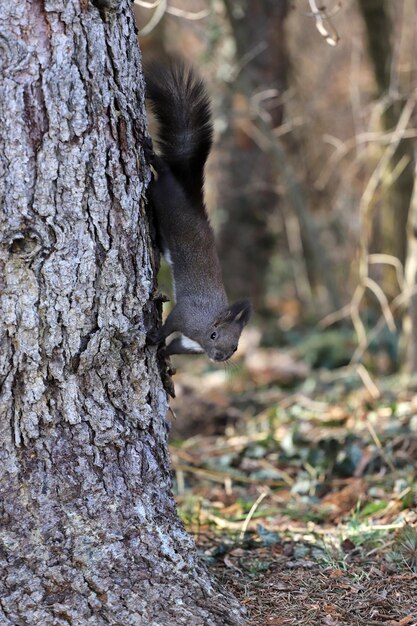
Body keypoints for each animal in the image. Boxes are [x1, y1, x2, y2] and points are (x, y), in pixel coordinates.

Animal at [145, 59, 250, 360]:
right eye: (214, 335)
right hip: (167, 198)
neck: (203, 330)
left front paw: (164, 355)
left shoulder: (189, 344)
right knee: (165, 176)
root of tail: (191, 198)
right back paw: (153, 157)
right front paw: (155, 336)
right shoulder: (187, 315)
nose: (219, 357)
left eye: (235, 346)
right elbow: (171, 323)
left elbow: (176, 347)